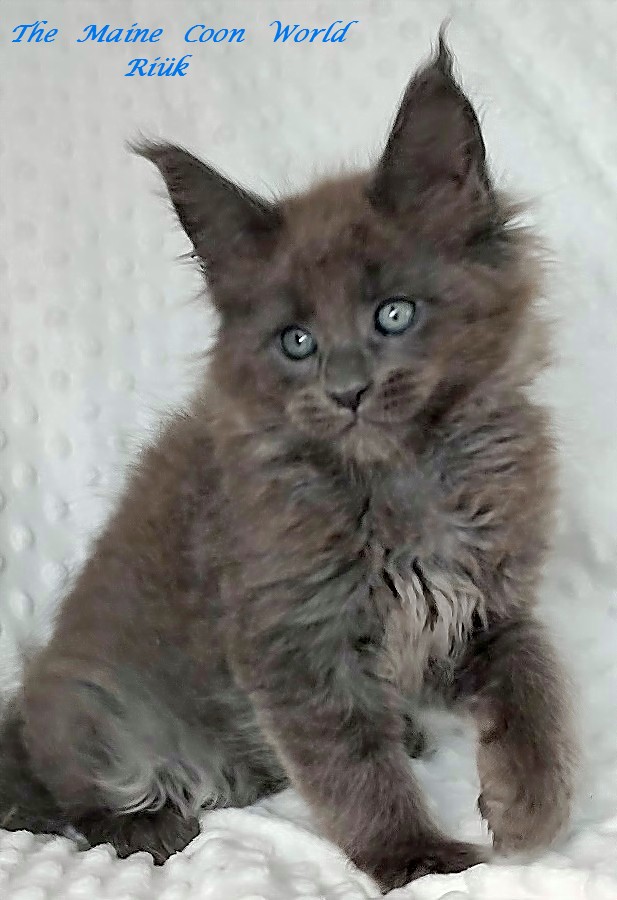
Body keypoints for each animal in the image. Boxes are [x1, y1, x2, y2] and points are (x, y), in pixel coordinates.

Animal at [0, 34, 577, 891]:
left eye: (393, 314)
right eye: (295, 341)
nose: (347, 391)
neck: (400, 477)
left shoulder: (487, 606)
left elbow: (535, 687)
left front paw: (531, 805)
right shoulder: (294, 643)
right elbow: (352, 770)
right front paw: (413, 858)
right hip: (93, 709)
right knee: (71, 791)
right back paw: (148, 826)